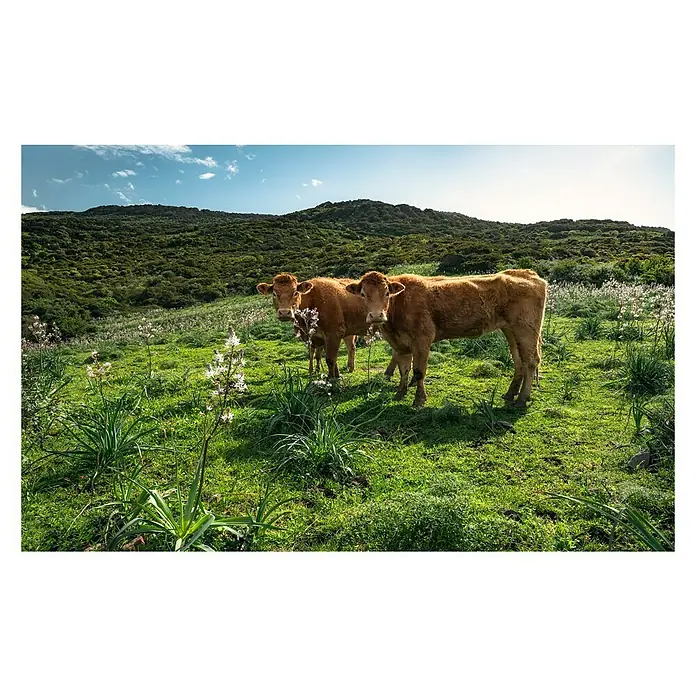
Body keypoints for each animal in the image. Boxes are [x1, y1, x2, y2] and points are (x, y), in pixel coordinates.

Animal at [345, 269, 547, 408]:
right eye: (363, 294)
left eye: (387, 293)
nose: (376, 315)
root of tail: (528, 273)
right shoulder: (400, 344)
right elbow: (404, 370)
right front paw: (400, 393)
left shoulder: (422, 340)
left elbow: (418, 371)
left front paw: (419, 400)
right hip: (511, 330)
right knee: (518, 359)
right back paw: (511, 393)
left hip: (526, 329)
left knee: (531, 361)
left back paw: (522, 399)